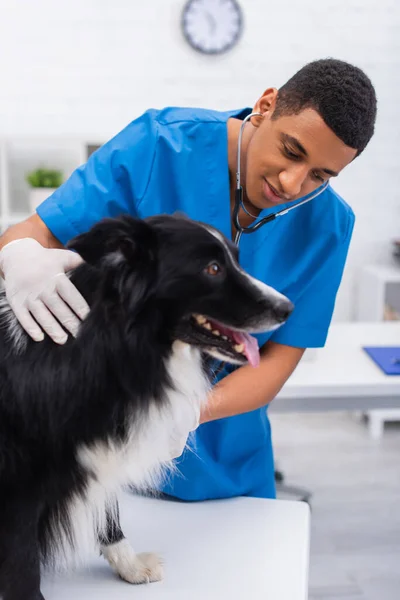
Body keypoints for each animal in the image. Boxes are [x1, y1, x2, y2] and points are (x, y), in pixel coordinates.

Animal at [0, 213, 294, 596]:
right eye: (213, 269)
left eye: (237, 261)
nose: (288, 308)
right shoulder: (18, 487)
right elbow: (23, 565)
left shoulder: (102, 446)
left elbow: (109, 511)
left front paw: (130, 565)